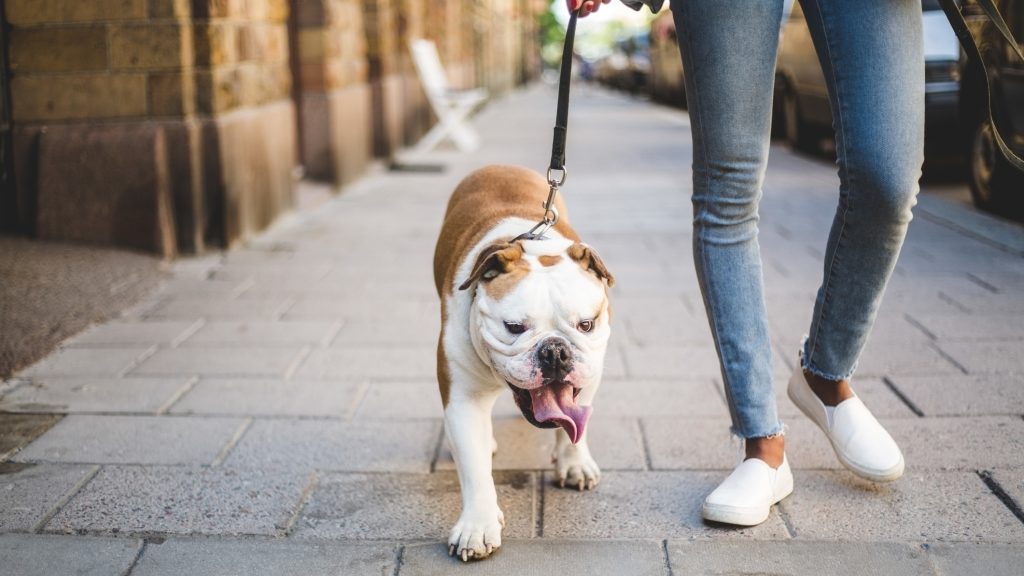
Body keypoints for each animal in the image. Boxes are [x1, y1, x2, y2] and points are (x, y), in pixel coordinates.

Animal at [434, 163, 614, 557]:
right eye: (514, 327)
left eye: (586, 324)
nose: (555, 351)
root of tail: (499, 166)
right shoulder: (463, 397)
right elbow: (474, 466)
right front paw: (477, 525)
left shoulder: (591, 373)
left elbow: (577, 423)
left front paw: (574, 464)